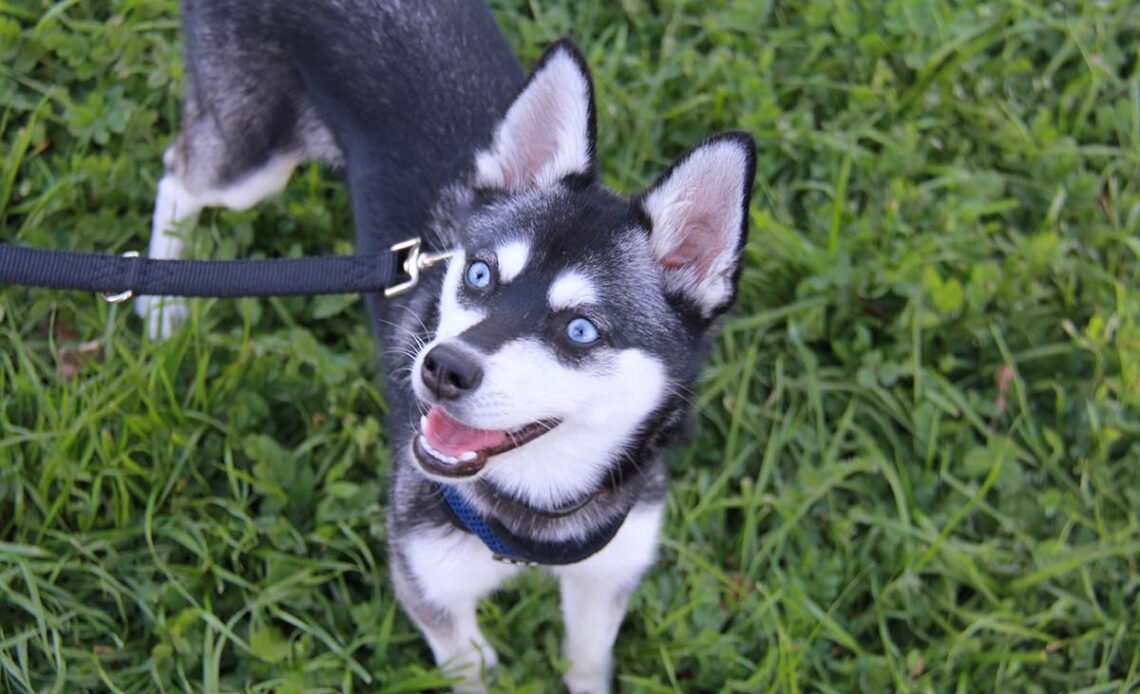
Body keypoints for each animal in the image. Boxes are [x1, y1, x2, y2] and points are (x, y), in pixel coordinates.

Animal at [147, 2, 756, 688]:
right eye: (481, 274)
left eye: (580, 330)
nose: (444, 369)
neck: (534, 517)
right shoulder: (428, 584)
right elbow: (471, 663)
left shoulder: (607, 577)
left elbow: (587, 659)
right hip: (249, 161)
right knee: (178, 173)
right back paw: (161, 306)